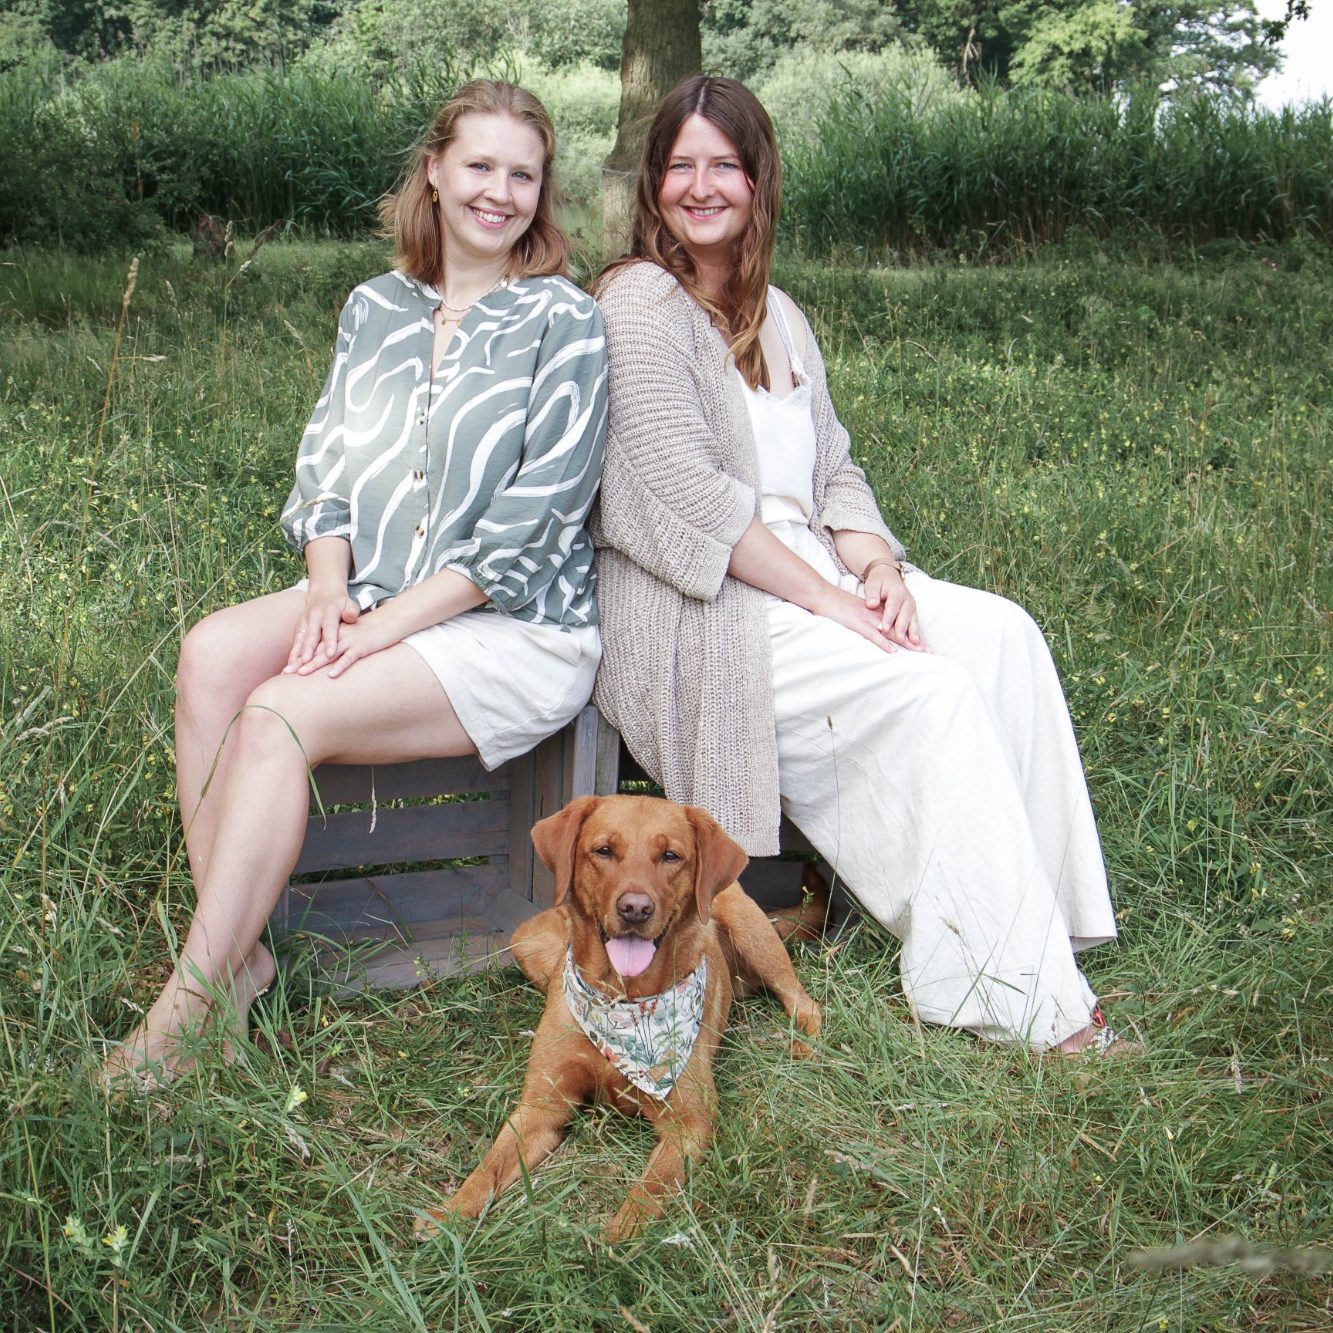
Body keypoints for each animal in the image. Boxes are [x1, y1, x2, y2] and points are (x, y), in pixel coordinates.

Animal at [416, 793, 823, 1243]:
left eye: (670, 855)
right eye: (604, 851)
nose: (635, 909)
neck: (622, 1003)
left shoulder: (689, 1122)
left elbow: (647, 1192)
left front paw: (615, 1242)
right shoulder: (541, 1105)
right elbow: (489, 1166)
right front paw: (448, 1213)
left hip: (751, 931)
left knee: (803, 1001)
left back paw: (804, 1045)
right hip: (527, 940)